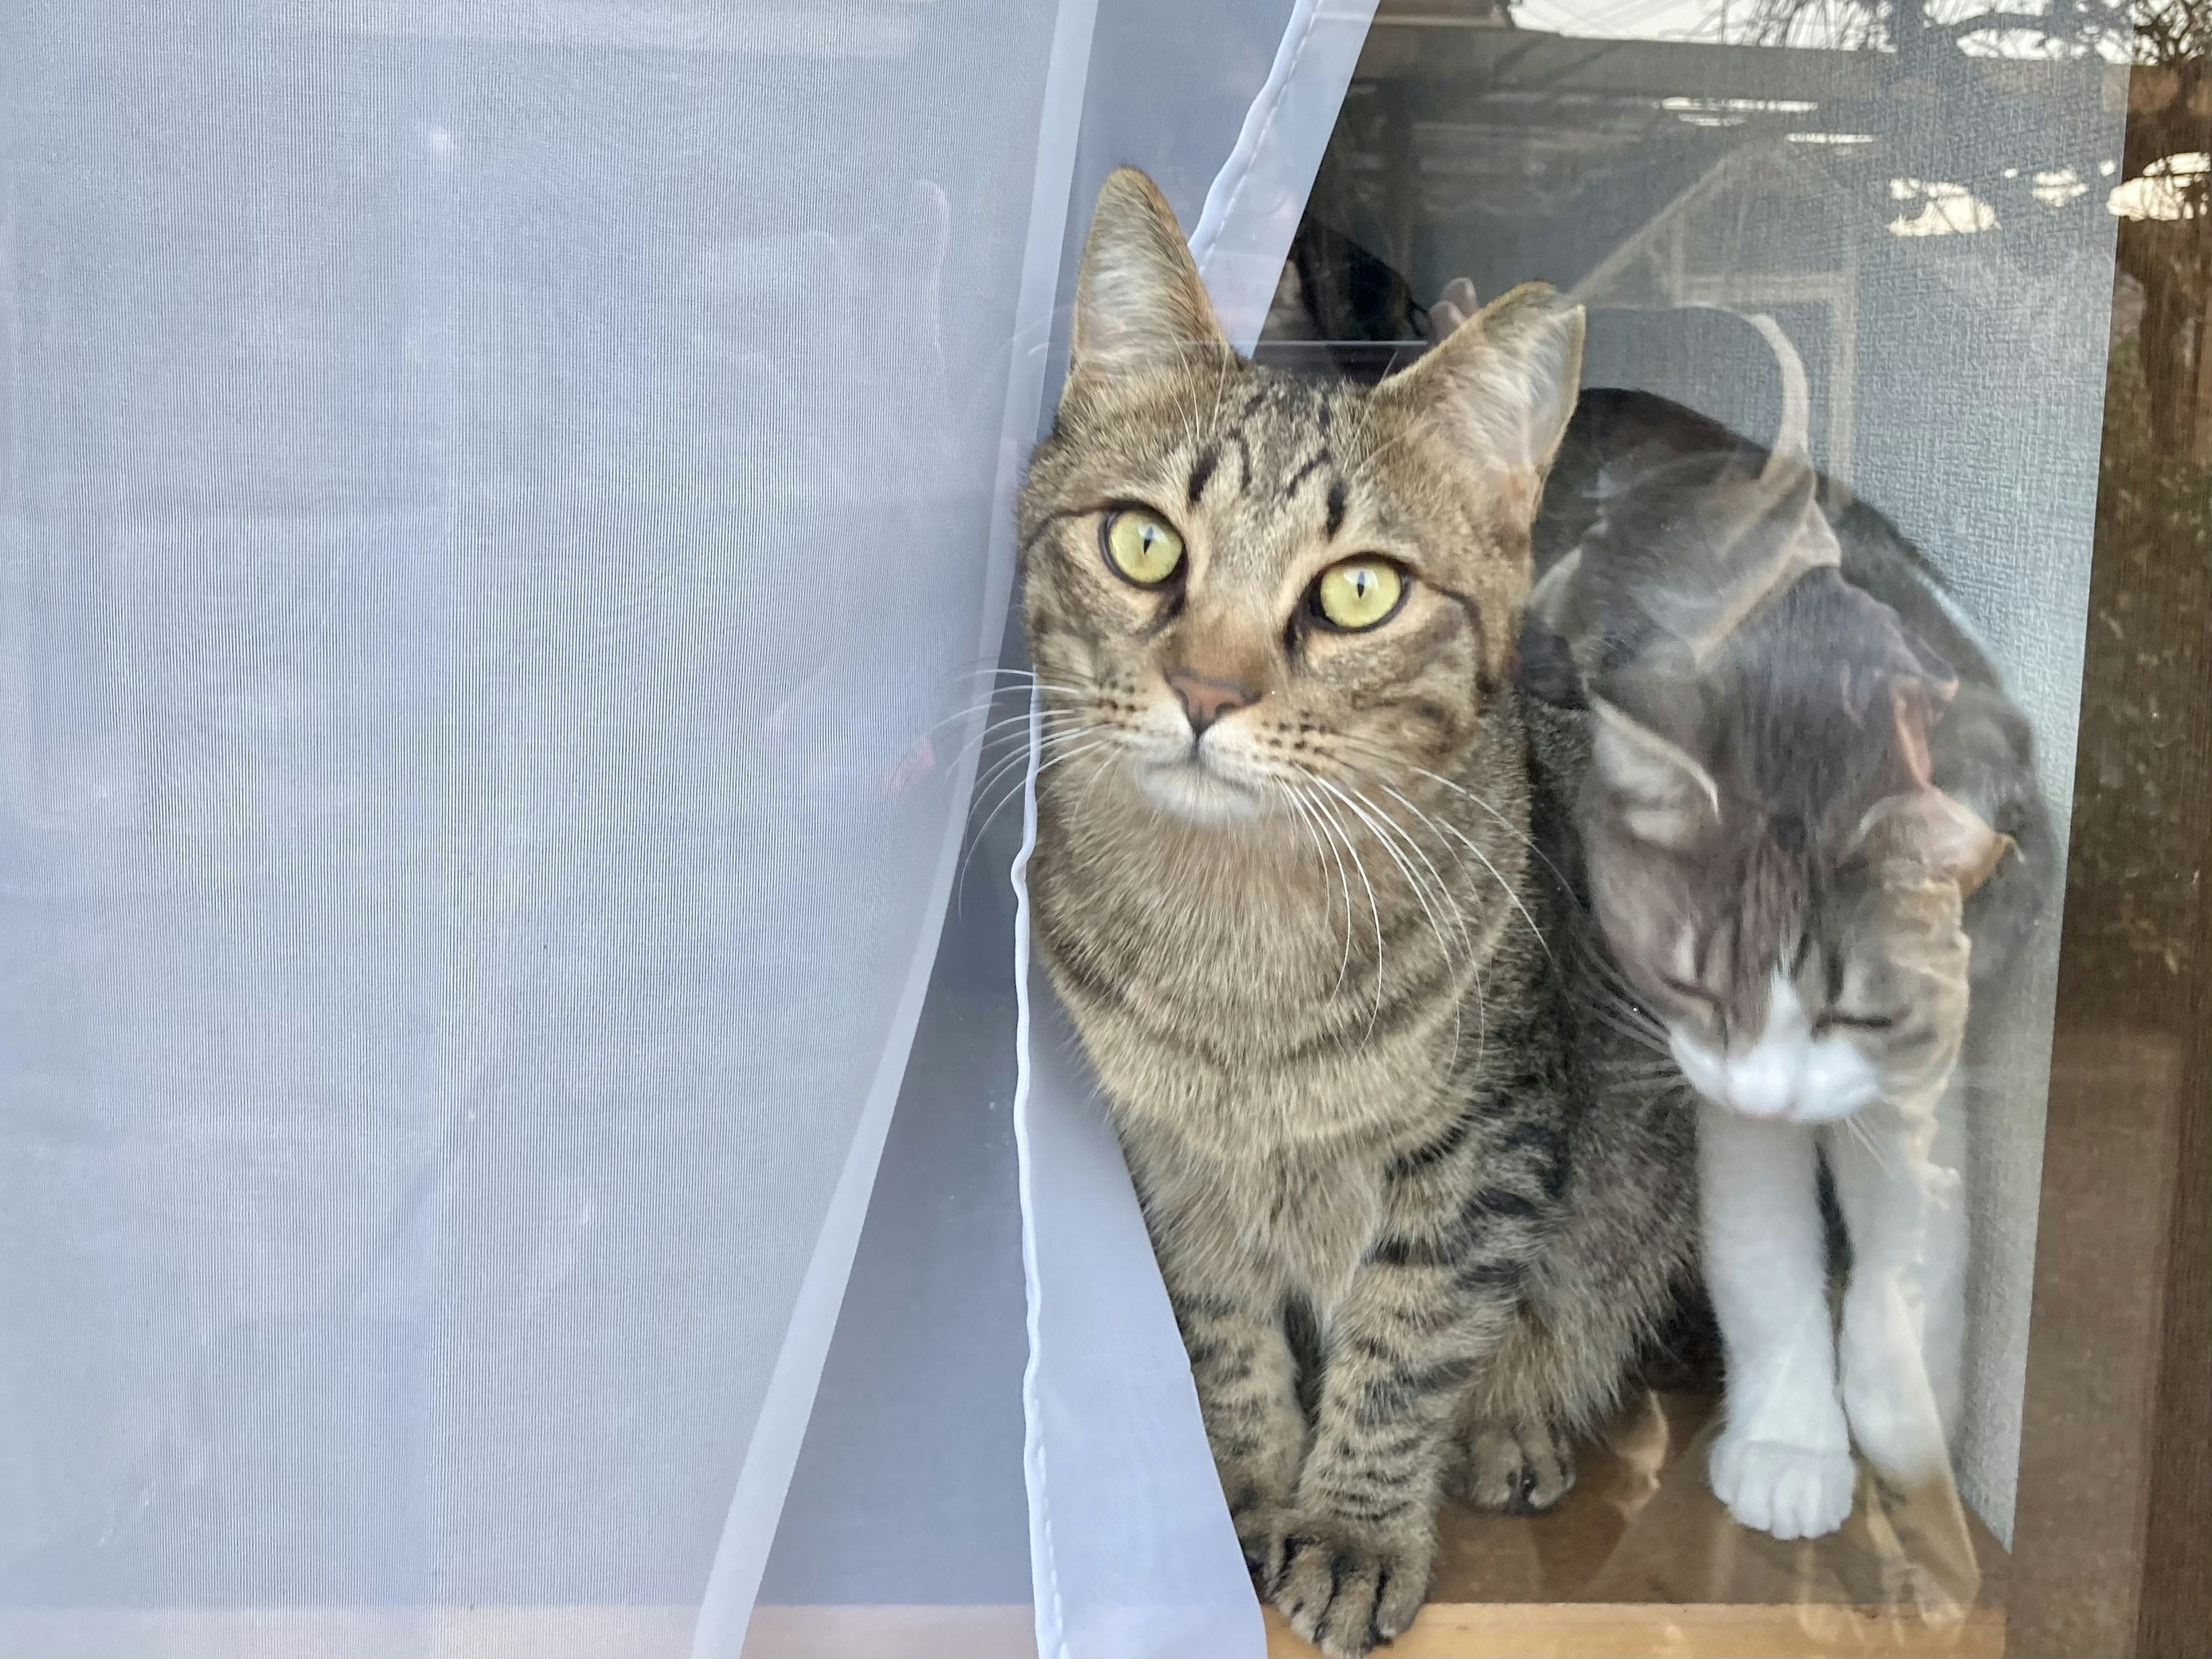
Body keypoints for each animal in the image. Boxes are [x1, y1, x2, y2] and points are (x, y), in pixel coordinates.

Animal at [1017, 172, 1690, 1659]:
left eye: (1359, 590)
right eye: (1143, 543)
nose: (1207, 691)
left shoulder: (1481, 1150)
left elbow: (1404, 1345)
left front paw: (1351, 1528)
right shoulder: (1171, 1167)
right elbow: (1224, 1340)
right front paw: (1244, 1491)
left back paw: (1511, 1428)